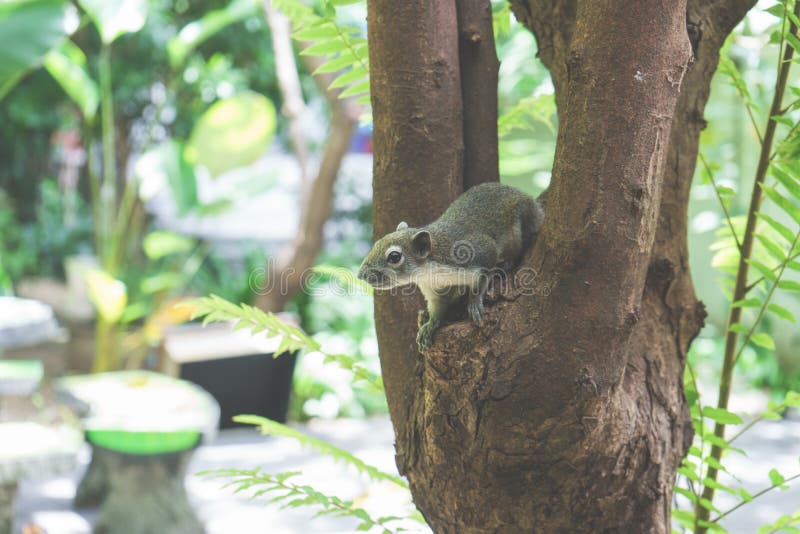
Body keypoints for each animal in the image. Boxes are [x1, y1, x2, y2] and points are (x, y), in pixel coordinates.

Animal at [358, 182, 546, 351]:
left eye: (394, 257)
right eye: (377, 243)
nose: (361, 276)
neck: (429, 271)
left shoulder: (479, 253)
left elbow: (483, 275)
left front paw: (474, 301)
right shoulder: (434, 290)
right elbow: (437, 308)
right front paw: (429, 325)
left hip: (521, 224)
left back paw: (505, 263)